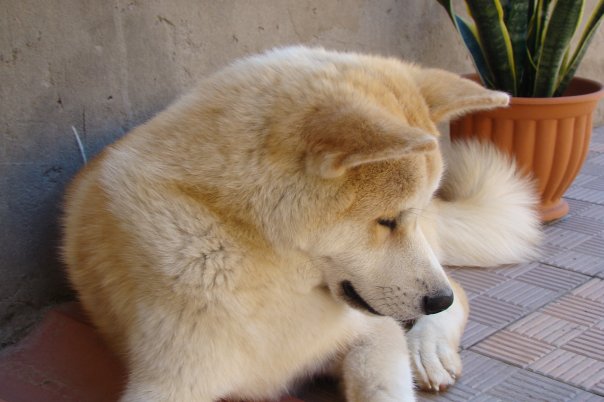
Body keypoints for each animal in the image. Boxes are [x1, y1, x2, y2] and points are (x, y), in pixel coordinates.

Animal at [62, 47, 541, 402]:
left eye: (412, 215)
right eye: (386, 222)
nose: (437, 300)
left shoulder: (371, 333)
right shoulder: (172, 383)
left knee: (459, 289)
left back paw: (429, 349)